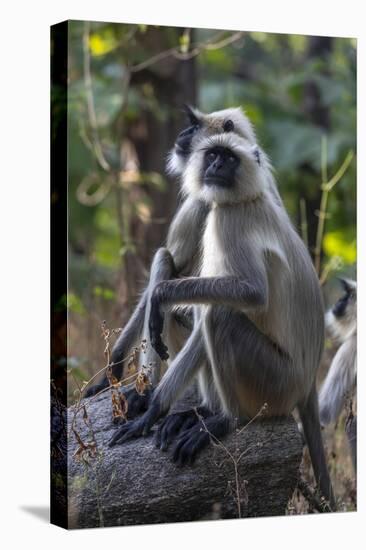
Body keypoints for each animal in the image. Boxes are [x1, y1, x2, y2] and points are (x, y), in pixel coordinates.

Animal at [110, 127, 336, 512]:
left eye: (229, 158)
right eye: (213, 155)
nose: (215, 166)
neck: (248, 197)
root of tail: (306, 384)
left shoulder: (227, 219)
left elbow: (252, 293)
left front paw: (152, 412)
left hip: (276, 382)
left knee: (219, 315)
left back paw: (227, 420)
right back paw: (198, 411)